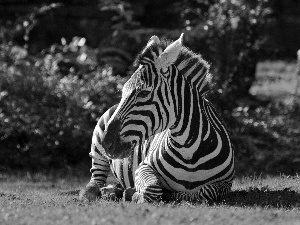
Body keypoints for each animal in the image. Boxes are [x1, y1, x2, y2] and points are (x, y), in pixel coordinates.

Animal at [80, 33, 234, 204]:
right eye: (123, 92)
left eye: (143, 93)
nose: (107, 143)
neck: (190, 151)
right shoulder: (144, 167)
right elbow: (153, 188)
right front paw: (134, 194)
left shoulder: (226, 183)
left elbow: (206, 192)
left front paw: (170, 194)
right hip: (97, 148)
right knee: (95, 179)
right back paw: (101, 192)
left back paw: (114, 190)